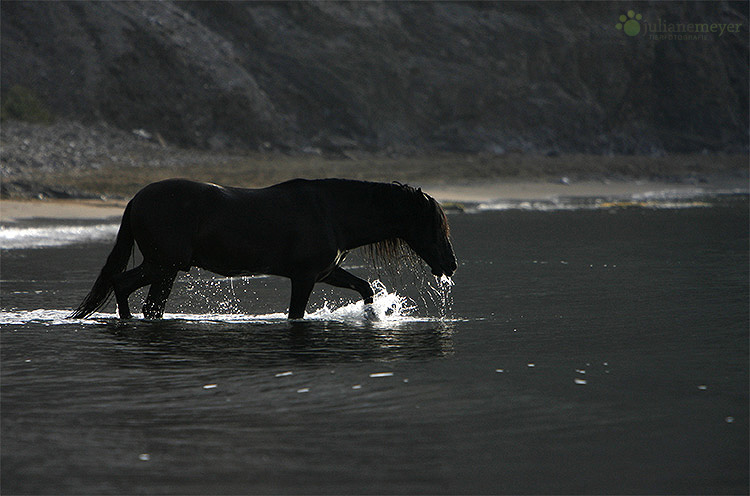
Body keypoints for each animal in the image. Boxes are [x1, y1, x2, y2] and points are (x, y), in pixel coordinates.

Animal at [72, 177, 458, 318]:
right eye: (435, 225)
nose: (451, 265)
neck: (331, 212)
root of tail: (136, 199)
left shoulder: (327, 272)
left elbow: (364, 289)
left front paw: (372, 315)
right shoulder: (304, 278)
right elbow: (296, 315)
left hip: (164, 269)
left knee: (140, 299)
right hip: (163, 265)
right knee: (124, 287)